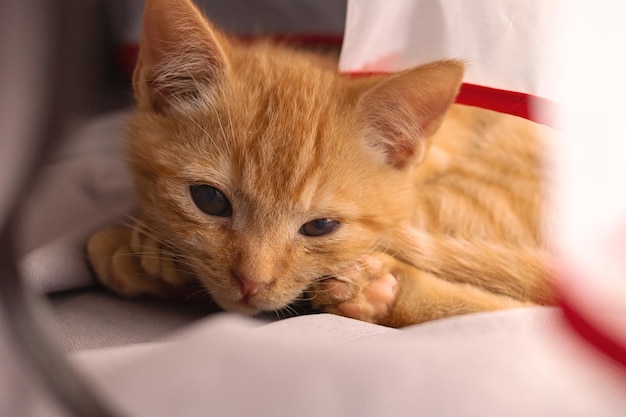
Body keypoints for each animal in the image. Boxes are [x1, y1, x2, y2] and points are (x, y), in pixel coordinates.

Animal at [85, 0, 552, 326]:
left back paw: (382, 293)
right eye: (209, 200)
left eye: (321, 226)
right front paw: (153, 249)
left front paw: (139, 246)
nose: (251, 283)